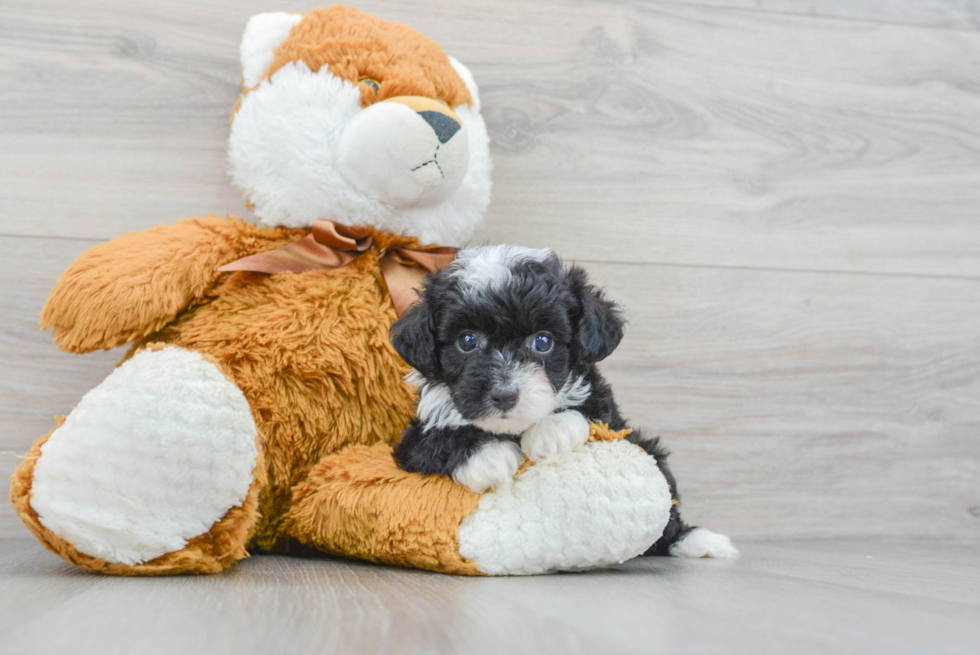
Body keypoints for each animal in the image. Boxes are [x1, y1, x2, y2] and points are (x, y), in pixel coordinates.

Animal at [386, 246, 740, 560]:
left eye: (543, 341)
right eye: (467, 341)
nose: (504, 395)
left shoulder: (609, 416)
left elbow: (587, 412)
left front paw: (550, 432)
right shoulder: (410, 442)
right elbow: (434, 440)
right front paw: (489, 457)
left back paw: (696, 540)